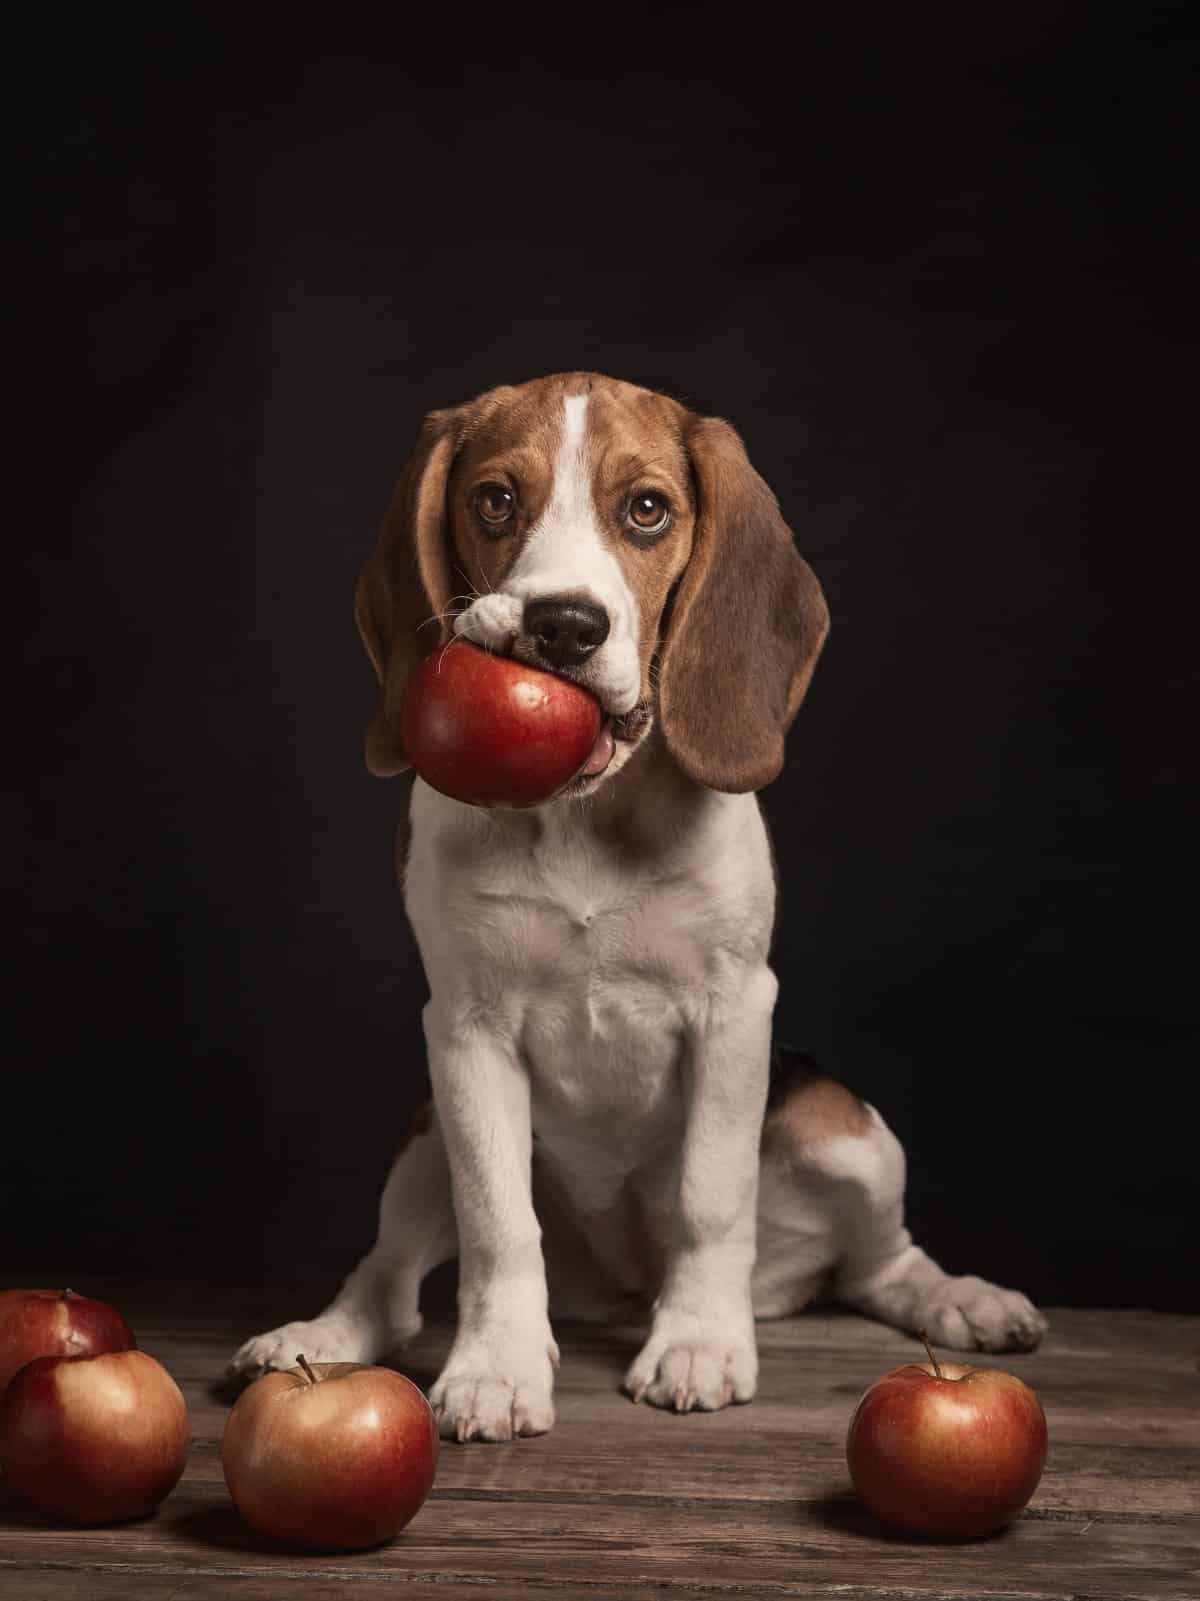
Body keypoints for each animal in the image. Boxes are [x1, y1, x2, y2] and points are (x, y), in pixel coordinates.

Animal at [230, 371, 1049, 1440]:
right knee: (392, 1279)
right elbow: (498, 1220)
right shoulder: (464, 1029)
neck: (589, 812)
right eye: (496, 499)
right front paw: (495, 1367)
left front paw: (698, 1341)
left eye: (648, 509)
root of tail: (617, 1289)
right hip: (423, 1133)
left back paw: (962, 1300)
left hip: (848, 1131)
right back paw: (318, 1337)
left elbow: (711, 1195)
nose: (565, 626)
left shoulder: (736, 1007)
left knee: (879, 1263)